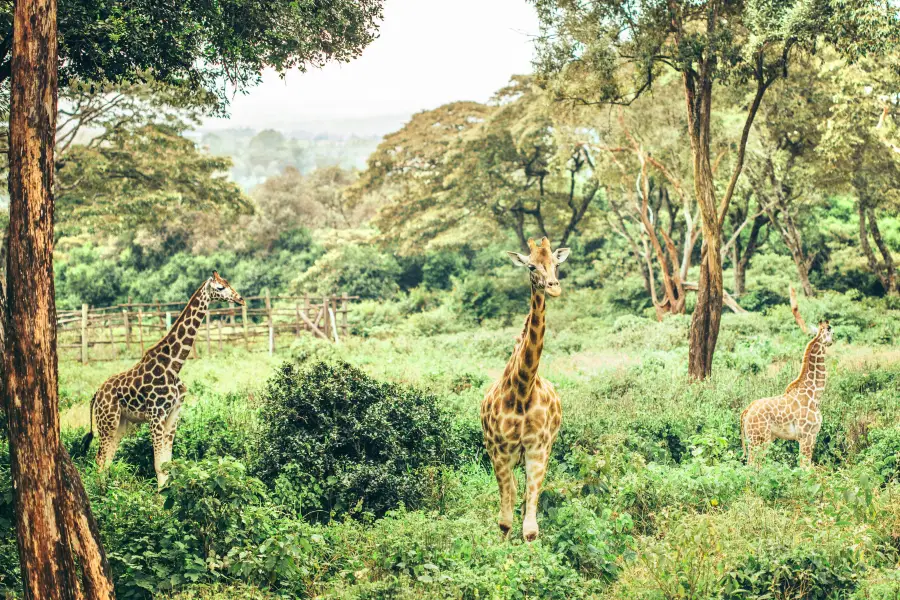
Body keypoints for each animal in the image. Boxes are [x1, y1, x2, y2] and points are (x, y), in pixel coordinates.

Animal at [78, 272, 244, 488]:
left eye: (228, 283)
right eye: (220, 287)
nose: (240, 299)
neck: (174, 364)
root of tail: (96, 395)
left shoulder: (174, 413)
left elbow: (168, 462)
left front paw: (167, 493)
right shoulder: (156, 413)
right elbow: (158, 464)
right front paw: (160, 495)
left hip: (121, 423)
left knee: (108, 458)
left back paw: (109, 489)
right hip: (107, 420)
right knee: (100, 458)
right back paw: (102, 492)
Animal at [478, 237, 568, 540]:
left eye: (555, 263)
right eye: (531, 265)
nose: (553, 287)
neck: (522, 389)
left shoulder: (537, 450)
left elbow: (530, 528)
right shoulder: (500, 451)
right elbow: (505, 522)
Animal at [740, 324, 832, 468]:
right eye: (831, 331)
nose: (831, 342)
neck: (814, 394)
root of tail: (746, 411)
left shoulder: (810, 436)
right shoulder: (807, 435)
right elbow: (805, 467)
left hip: (761, 438)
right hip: (758, 439)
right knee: (752, 465)